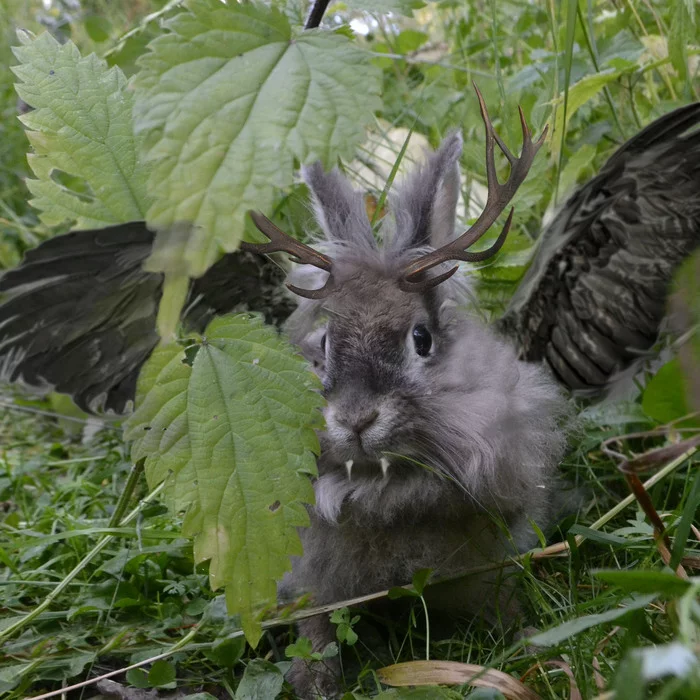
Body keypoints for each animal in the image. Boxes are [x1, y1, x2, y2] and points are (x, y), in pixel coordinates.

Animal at [243, 95, 572, 696]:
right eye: (324, 344)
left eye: (421, 339)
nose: (355, 419)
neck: (382, 486)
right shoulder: (312, 577)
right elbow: (316, 627)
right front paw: (314, 681)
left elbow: (504, 602)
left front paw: (532, 642)